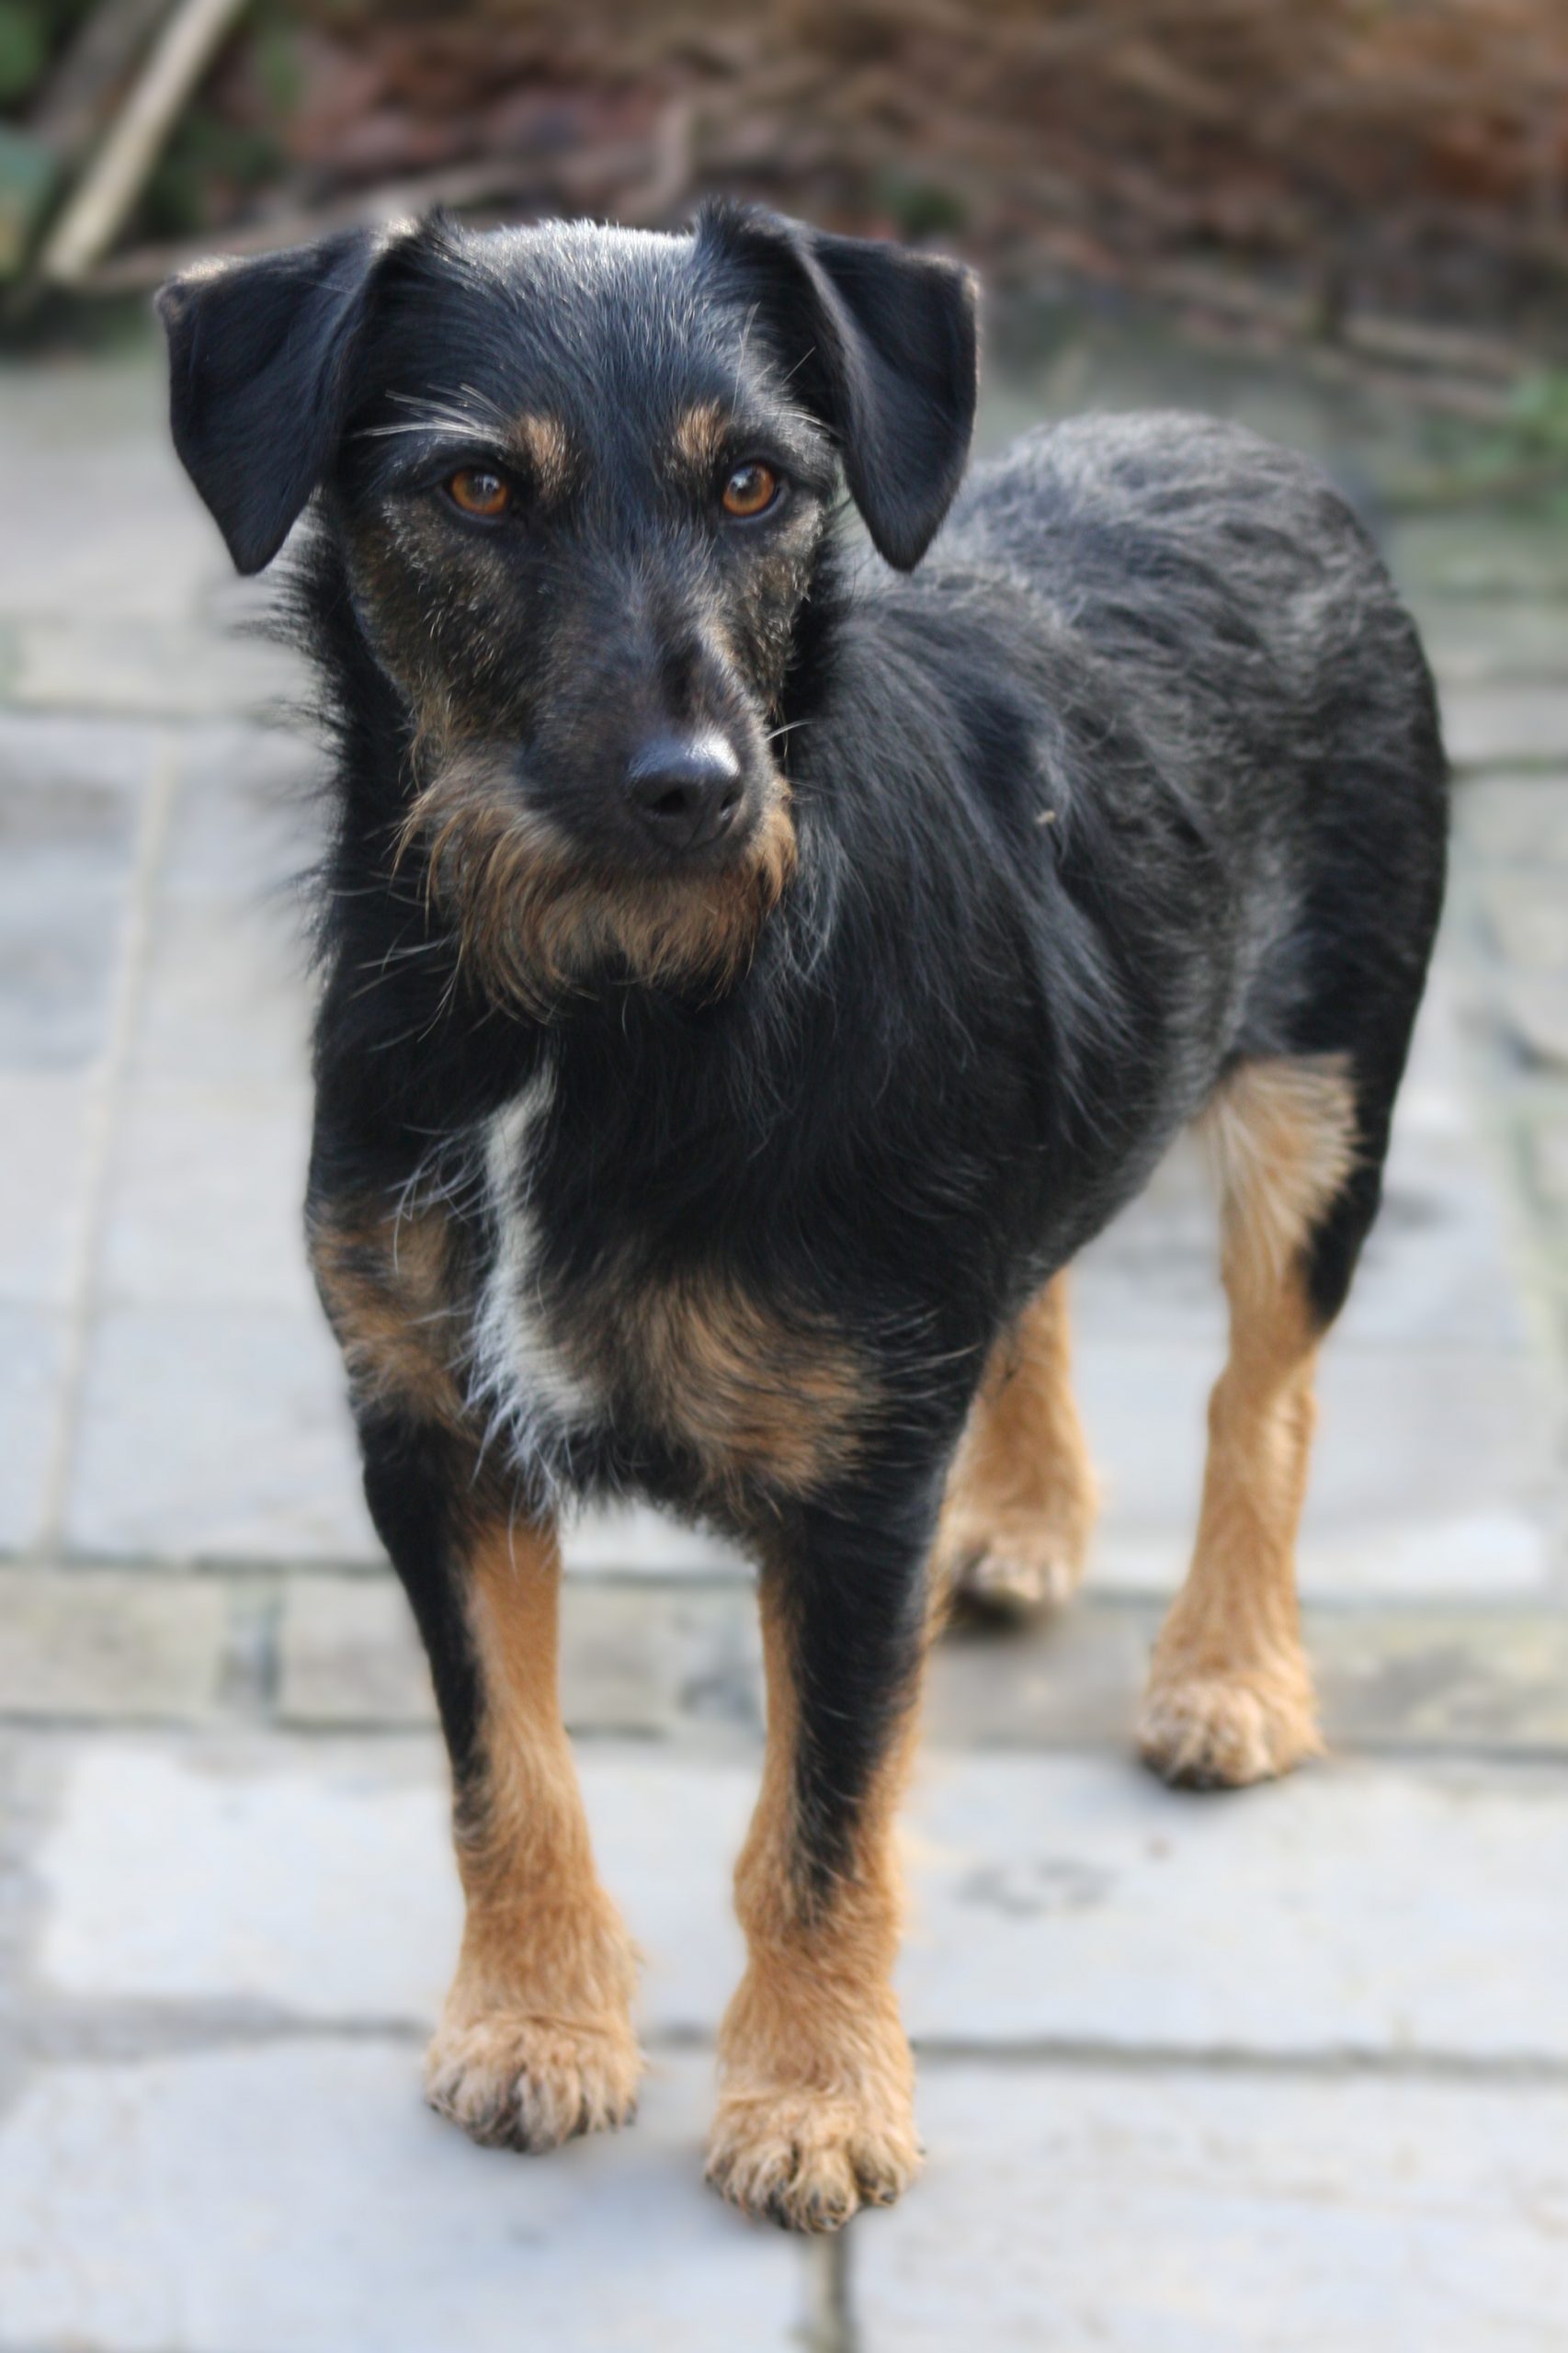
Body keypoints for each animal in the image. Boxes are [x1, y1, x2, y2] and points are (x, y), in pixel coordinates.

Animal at [158, 202, 1447, 2233]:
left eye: (756, 482)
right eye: (473, 486)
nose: (693, 790)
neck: (592, 1010)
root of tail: (1248, 442)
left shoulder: (853, 1499)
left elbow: (823, 1817)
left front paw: (816, 2095)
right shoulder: (428, 1432)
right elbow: (500, 1758)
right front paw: (535, 2021)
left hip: (1323, 1103)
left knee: (1266, 1391)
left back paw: (1230, 1672)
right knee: (1039, 1285)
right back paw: (1021, 1521)